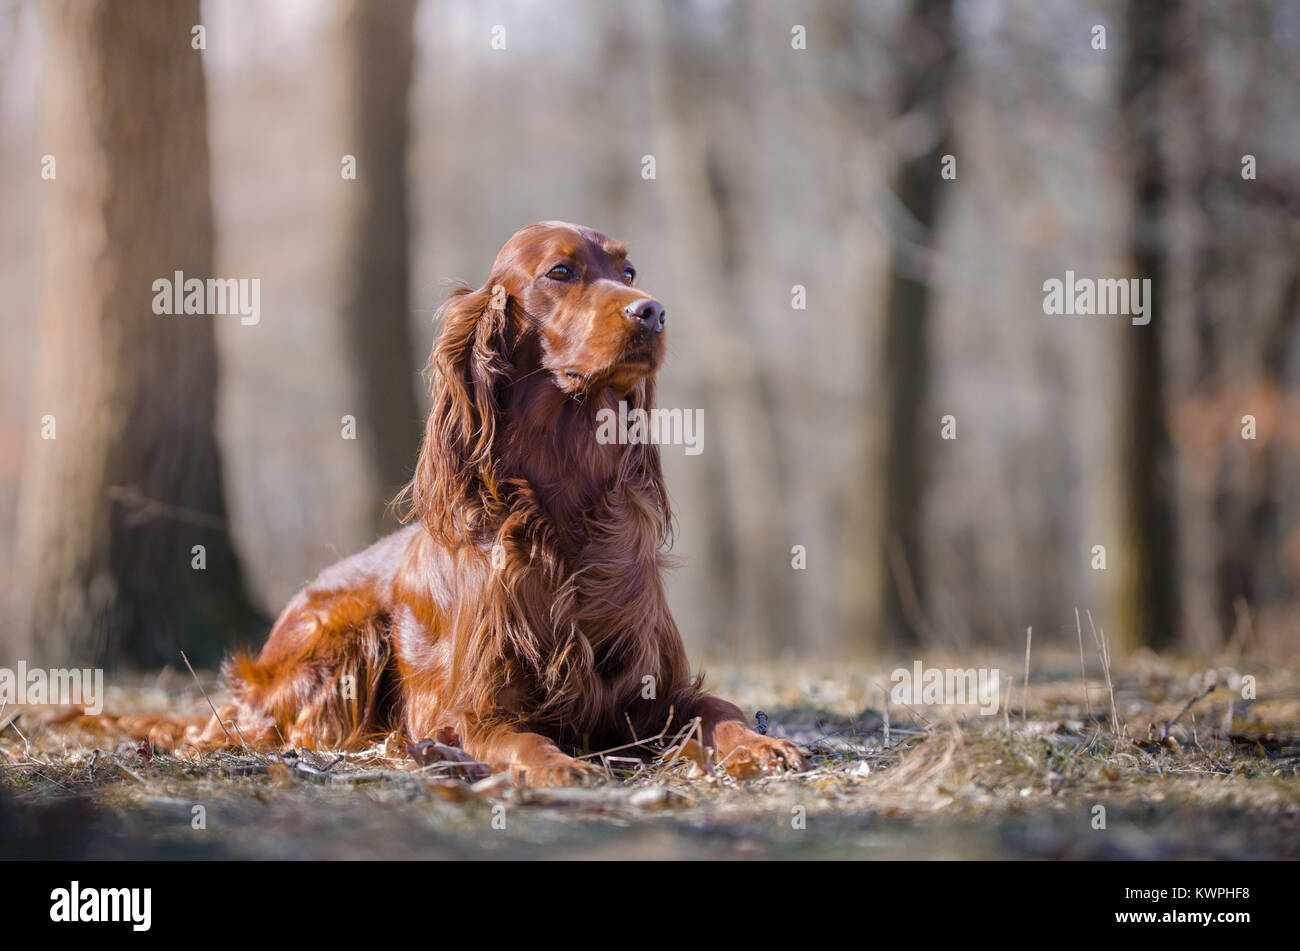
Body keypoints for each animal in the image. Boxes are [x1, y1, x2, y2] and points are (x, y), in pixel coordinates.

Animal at [195, 224, 800, 789]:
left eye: (628, 272)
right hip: (347, 634)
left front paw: (761, 744)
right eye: (561, 272)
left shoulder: (656, 686)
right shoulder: (474, 709)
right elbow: (522, 738)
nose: (652, 312)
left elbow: (718, 707)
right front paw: (559, 766)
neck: (565, 502)